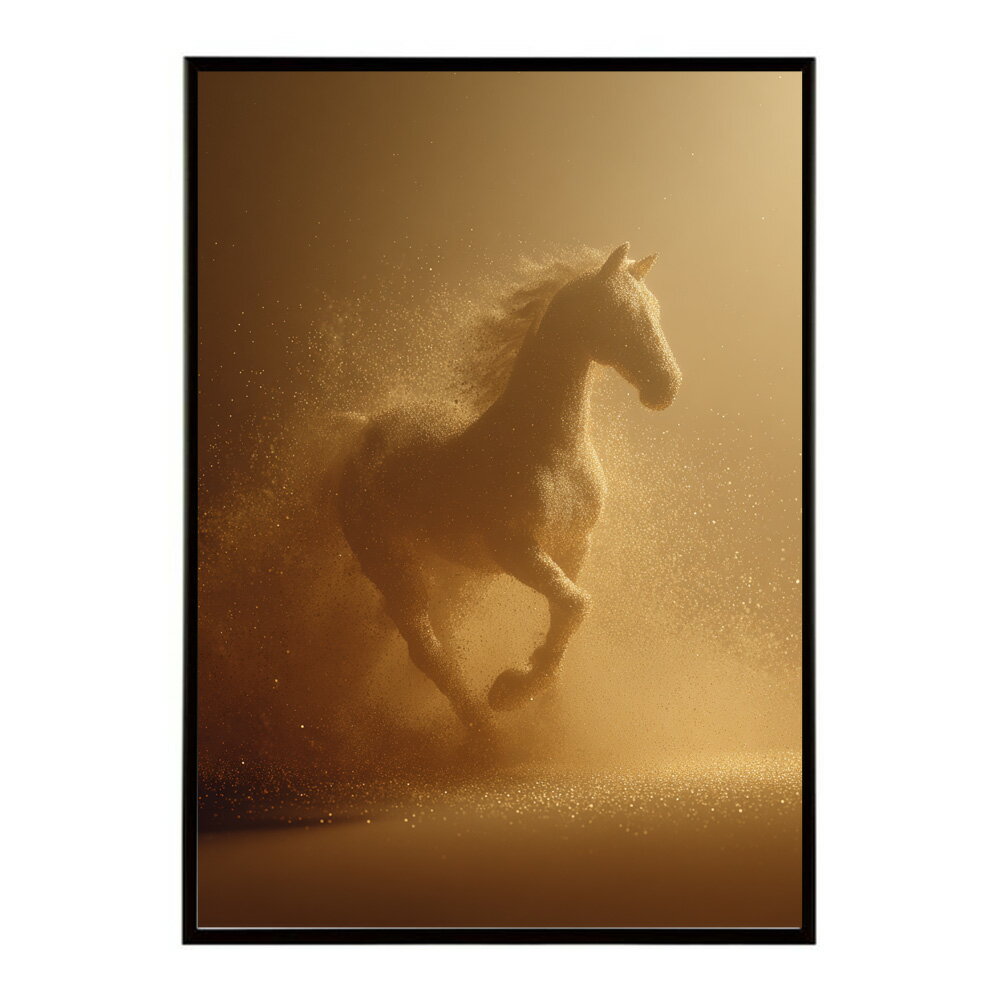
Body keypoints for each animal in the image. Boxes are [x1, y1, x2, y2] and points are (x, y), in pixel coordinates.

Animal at [337, 243, 682, 734]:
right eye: (618, 313)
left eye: (654, 310)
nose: (665, 385)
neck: (550, 448)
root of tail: (364, 431)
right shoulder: (514, 548)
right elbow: (576, 604)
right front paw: (511, 690)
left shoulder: (573, 546)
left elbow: (568, 610)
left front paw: (540, 688)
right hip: (392, 564)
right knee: (425, 646)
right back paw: (483, 726)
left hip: (444, 568)